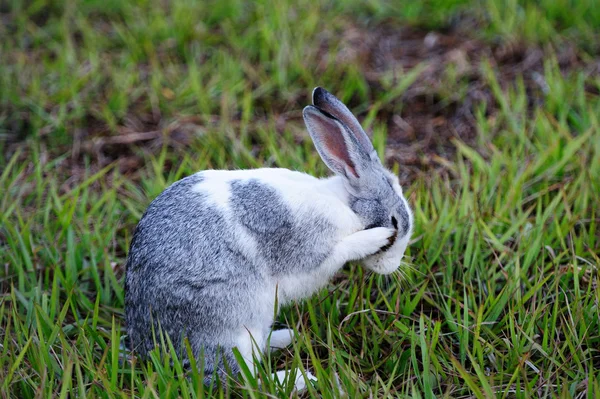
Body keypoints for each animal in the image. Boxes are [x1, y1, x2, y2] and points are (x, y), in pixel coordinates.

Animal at [124, 86, 414, 390]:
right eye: (395, 222)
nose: (393, 267)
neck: (346, 204)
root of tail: (151, 351)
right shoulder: (308, 251)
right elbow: (340, 250)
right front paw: (376, 236)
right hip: (232, 330)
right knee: (243, 380)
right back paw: (299, 378)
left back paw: (286, 337)